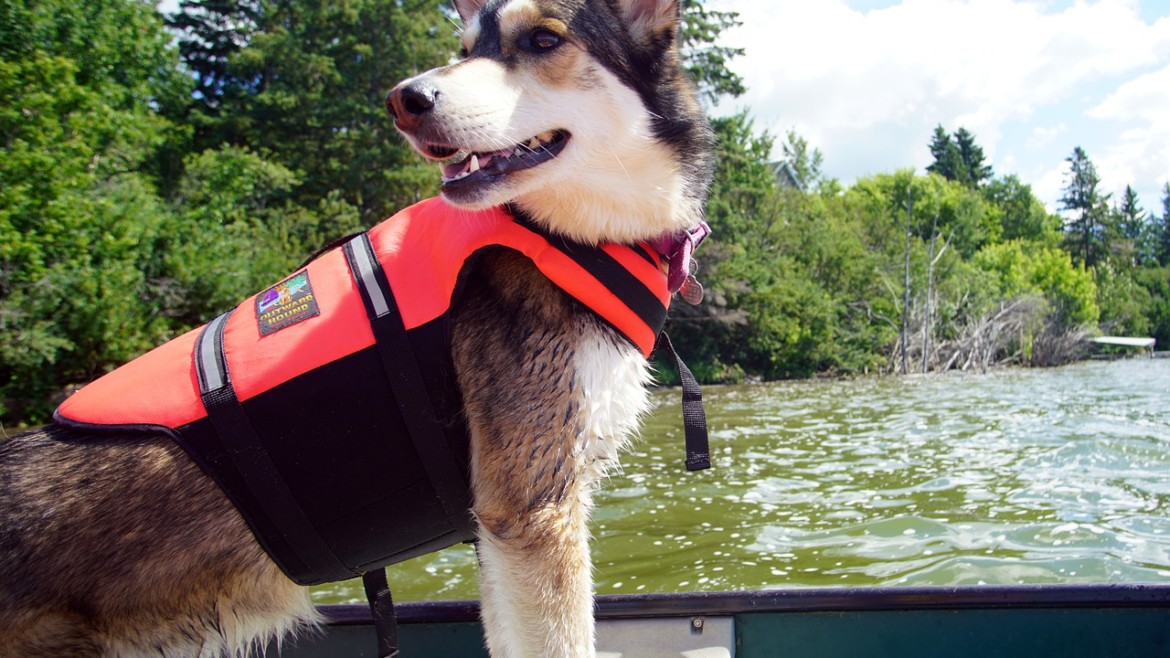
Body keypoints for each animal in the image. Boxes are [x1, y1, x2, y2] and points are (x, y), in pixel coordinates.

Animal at [0, 0, 711, 650]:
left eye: (542, 39)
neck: (566, 234)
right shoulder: (532, 512)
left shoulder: (502, 531)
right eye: (463, 49)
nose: (405, 100)